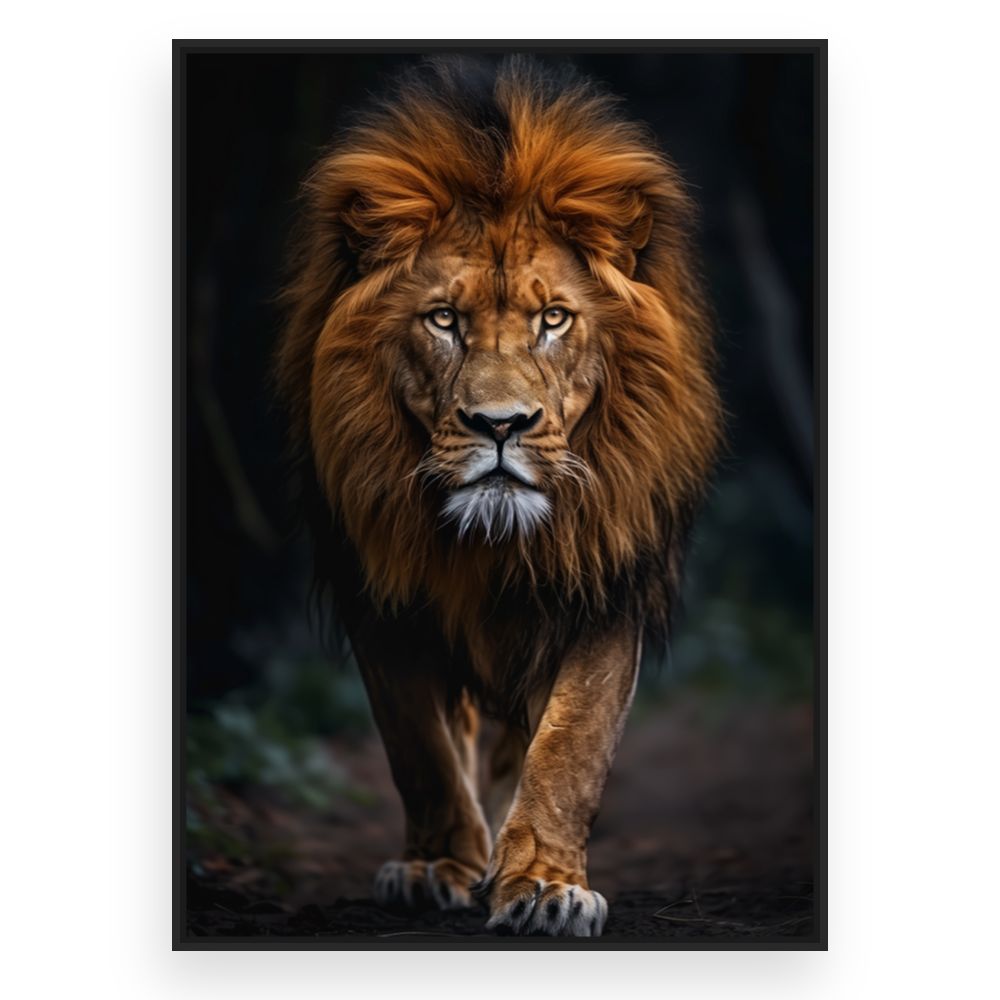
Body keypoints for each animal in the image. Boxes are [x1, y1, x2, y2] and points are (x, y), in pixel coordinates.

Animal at [276, 56, 722, 936]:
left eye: (553, 319)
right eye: (444, 319)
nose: (501, 425)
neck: (492, 541)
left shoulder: (605, 582)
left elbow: (570, 747)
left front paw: (543, 883)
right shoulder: (381, 593)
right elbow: (418, 746)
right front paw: (437, 867)